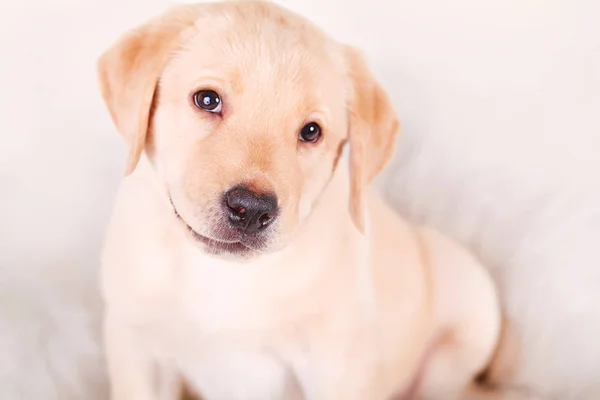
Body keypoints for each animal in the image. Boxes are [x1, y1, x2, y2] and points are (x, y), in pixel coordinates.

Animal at [97, 1, 502, 398]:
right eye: (207, 100)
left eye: (310, 132)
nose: (251, 209)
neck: (222, 275)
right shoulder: (136, 345)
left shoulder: (337, 368)